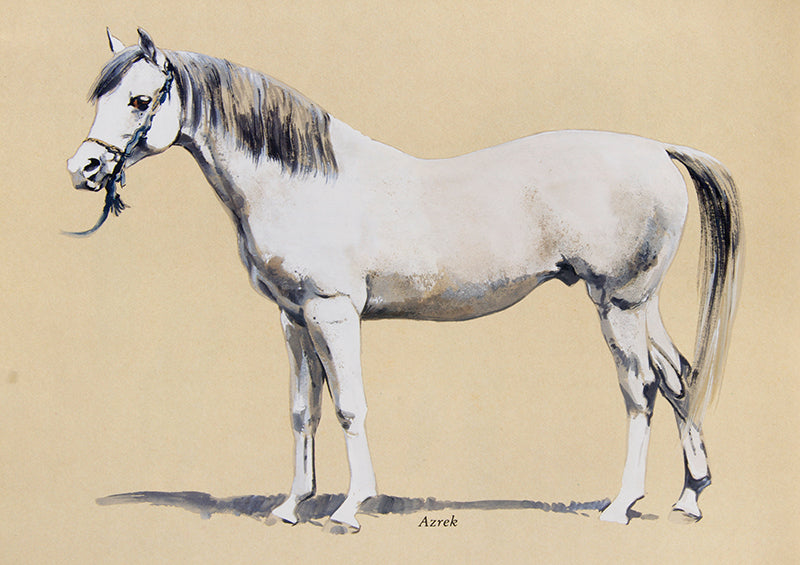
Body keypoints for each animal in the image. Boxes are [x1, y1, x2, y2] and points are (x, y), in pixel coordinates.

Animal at [67, 29, 742, 531]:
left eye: (139, 100)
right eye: (101, 96)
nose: (84, 168)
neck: (305, 183)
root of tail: (657, 149)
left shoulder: (333, 312)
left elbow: (348, 406)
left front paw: (349, 507)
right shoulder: (293, 318)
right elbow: (302, 411)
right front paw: (290, 506)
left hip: (618, 303)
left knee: (640, 390)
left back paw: (622, 506)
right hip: (639, 301)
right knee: (678, 376)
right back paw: (690, 496)